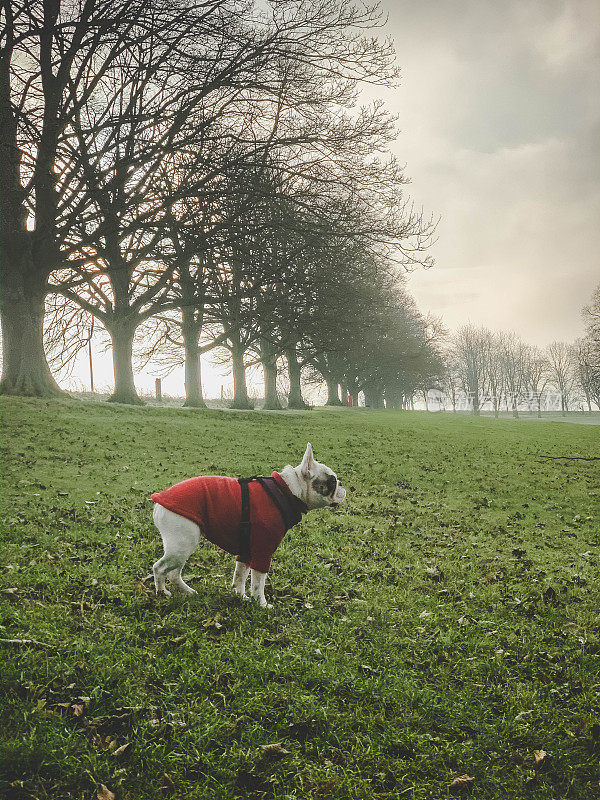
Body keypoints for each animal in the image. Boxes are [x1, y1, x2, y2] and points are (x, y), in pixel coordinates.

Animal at [150, 444, 346, 608]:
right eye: (332, 481)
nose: (342, 484)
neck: (287, 490)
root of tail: (160, 499)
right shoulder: (263, 551)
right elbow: (258, 582)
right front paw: (261, 604)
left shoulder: (245, 550)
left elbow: (240, 575)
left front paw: (240, 596)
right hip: (182, 544)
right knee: (160, 568)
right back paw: (162, 592)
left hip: (182, 547)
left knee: (174, 573)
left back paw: (187, 591)